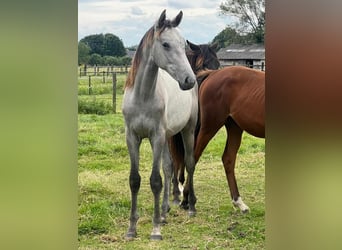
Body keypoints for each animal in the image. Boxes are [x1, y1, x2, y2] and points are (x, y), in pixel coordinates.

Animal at [123, 9, 198, 240]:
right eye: (165, 44)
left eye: (184, 44)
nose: (189, 80)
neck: (143, 96)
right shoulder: (133, 137)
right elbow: (135, 180)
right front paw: (132, 229)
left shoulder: (155, 136)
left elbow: (155, 181)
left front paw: (155, 229)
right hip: (167, 136)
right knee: (168, 167)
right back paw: (165, 211)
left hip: (187, 130)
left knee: (189, 163)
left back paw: (191, 207)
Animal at [179, 66, 264, 213]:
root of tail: (213, 73)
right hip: (210, 126)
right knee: (194, 157)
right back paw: (185, 199)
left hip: (234, 127)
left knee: (228, 159)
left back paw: (239, 202)